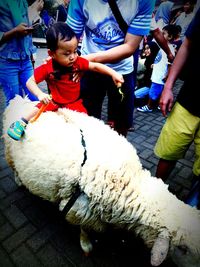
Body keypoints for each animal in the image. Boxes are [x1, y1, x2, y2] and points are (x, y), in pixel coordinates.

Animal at [2, 97, 200, 267]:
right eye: (183, 249)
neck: (127, 182)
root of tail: (18, 100)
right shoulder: (79, 209)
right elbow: (84, 229)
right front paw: (86, 245)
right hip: (9, 152)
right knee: (13, 168)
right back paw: (18, 180)